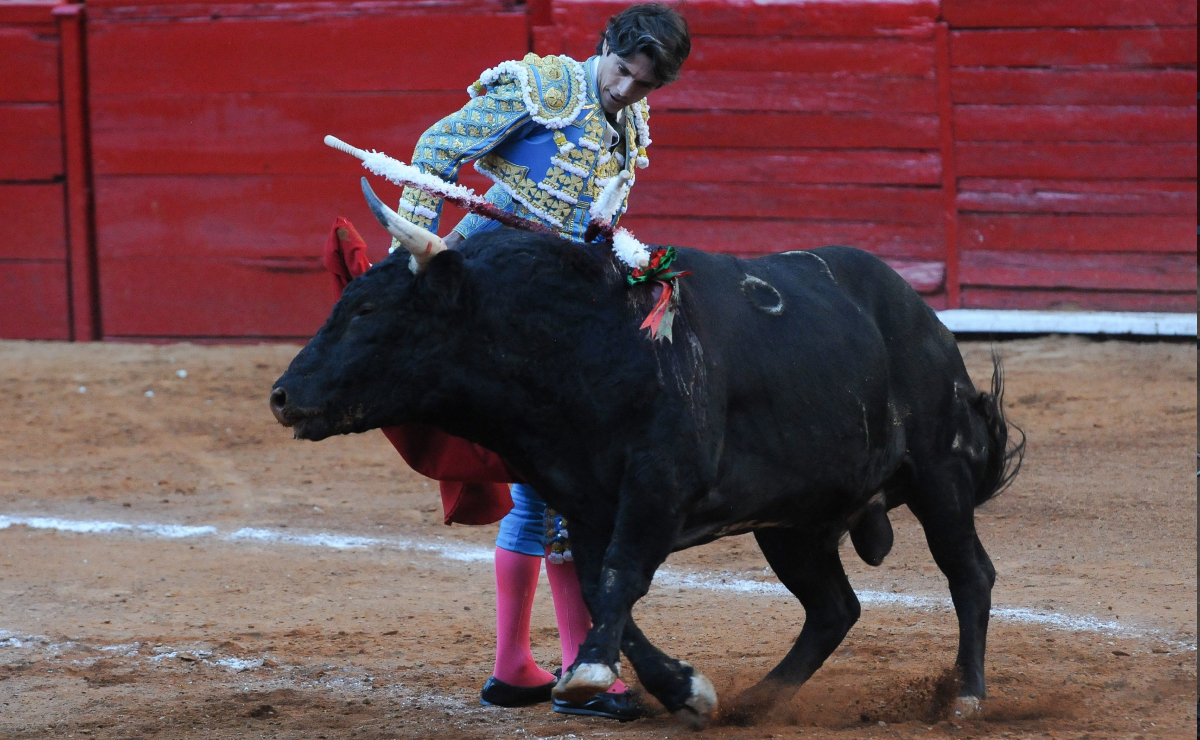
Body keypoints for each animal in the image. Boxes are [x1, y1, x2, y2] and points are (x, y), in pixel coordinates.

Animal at [270, 225, 1022, 719]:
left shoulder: (657, 486)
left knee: (968, 574)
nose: (282, 395)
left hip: (938, 473)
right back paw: (754, 703)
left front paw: (595, 676)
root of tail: (925, 318)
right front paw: (681, 689)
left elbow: (620, 577)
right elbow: (600, 590)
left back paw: (966, 697)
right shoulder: (582, 501)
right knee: (834, 608)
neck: (576, 343)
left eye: (367, 310)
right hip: (793, 522)